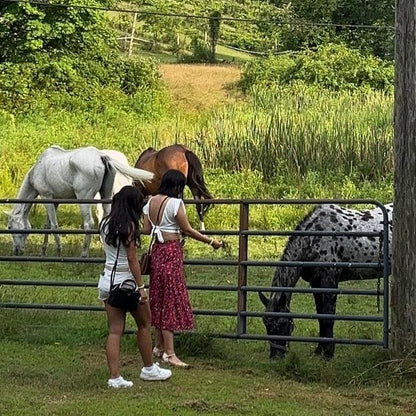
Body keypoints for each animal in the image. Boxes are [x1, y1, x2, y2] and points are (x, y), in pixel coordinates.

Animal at [6, 145, 154, 256]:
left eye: (9, 227)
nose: (17, 251)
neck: (37, 170)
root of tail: (101, 156)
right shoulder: (55, 201)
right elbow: (47, 225)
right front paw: (43, 250)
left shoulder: (46, 197)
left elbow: (54, 225)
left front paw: (58, 250)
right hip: (105, 196)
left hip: (84, 199)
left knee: (88, 223)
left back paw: (83, 254)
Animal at [258, 203, 392, 360]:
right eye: (266, 324)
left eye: (282, 324)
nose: (275, 356)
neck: (313, 239)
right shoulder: (315, 283)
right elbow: (320, 316)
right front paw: (319, 350)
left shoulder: (329, 281)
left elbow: (328, 317)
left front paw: (328, 353)